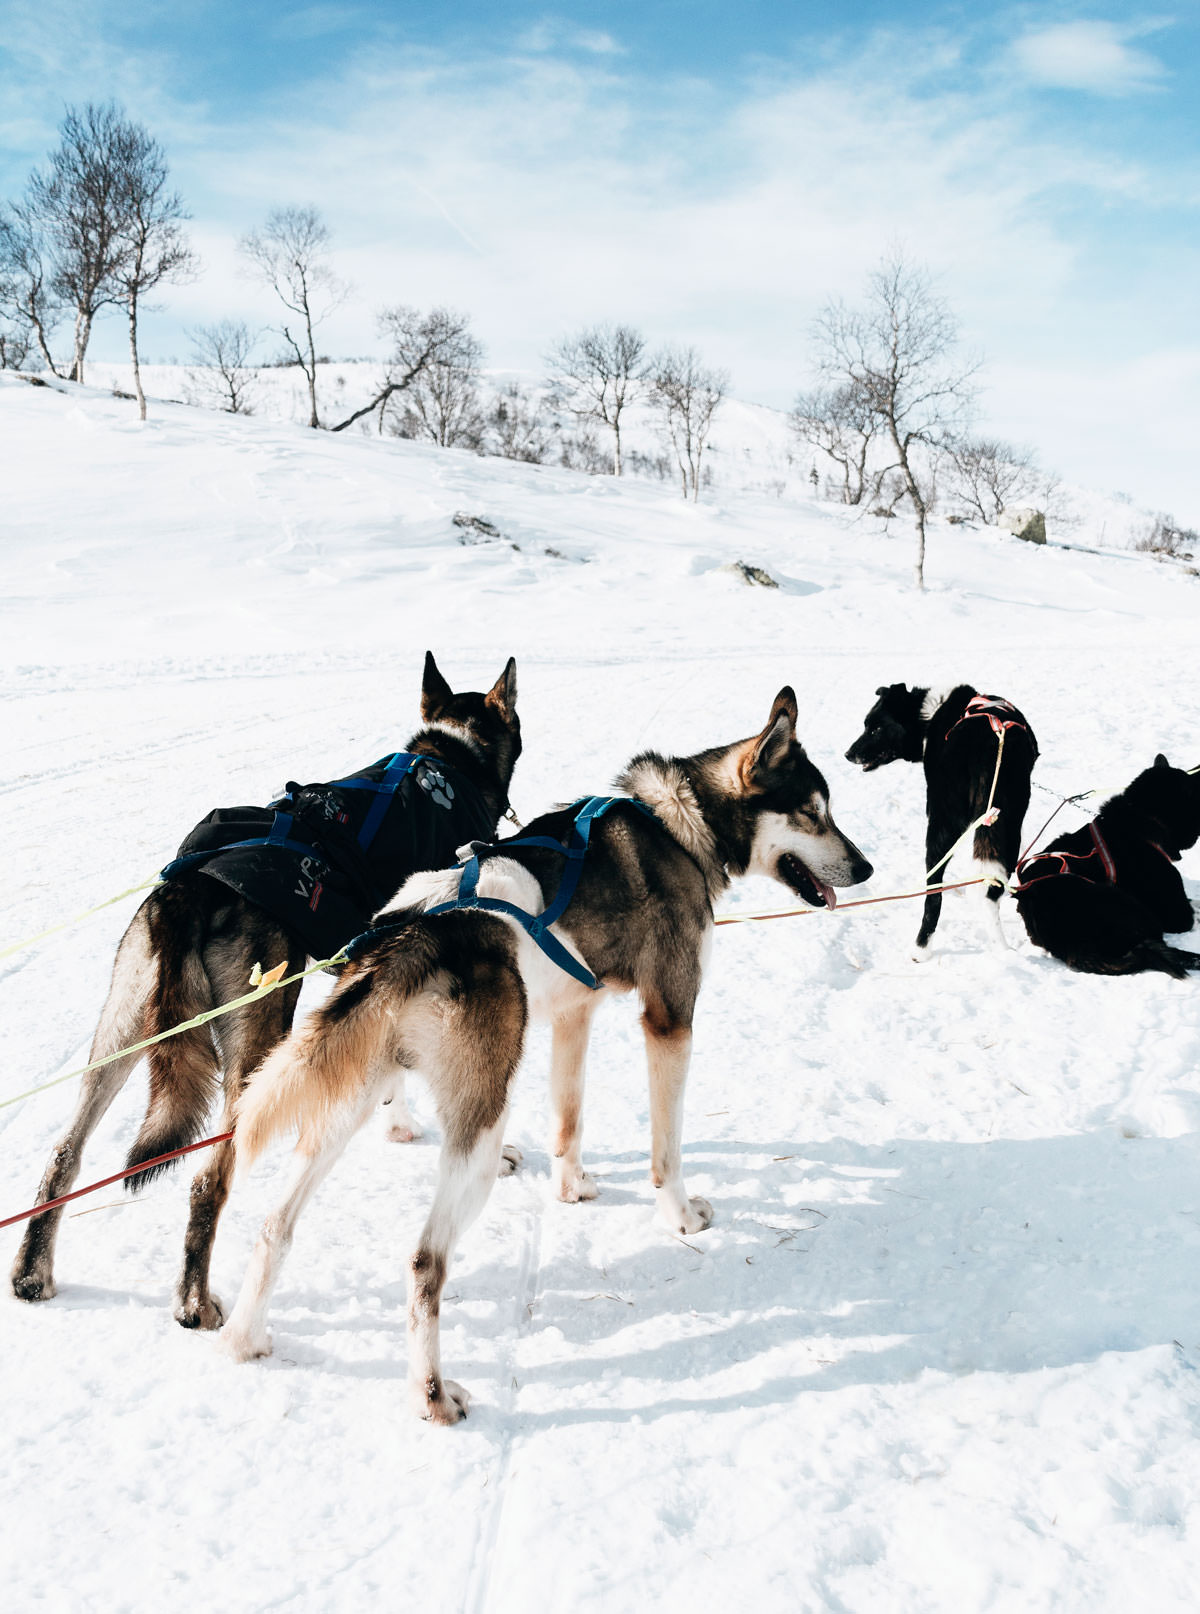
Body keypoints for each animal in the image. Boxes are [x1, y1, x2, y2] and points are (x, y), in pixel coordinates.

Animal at [218, 687, 872, 1420]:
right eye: (814, 814)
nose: (866, 867)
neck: (679, 824)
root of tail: (413, 937)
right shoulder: (670, 1021)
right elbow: (667, 1149)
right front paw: (680, 1218)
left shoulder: (572, 1016)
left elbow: (569, 1118)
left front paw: (571, 1187)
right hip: (477, 1135)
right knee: (424, 1264)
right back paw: (431, 1393)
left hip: (345, 1107)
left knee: (275, 1225)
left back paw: (243, 1337)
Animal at [852, 677, 1040, 942]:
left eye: (875, 729)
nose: (848, 754)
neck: (930, 714)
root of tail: (989, 746)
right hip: (1007, 823)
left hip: (941, 824)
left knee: (934, 895)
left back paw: (921, 947)